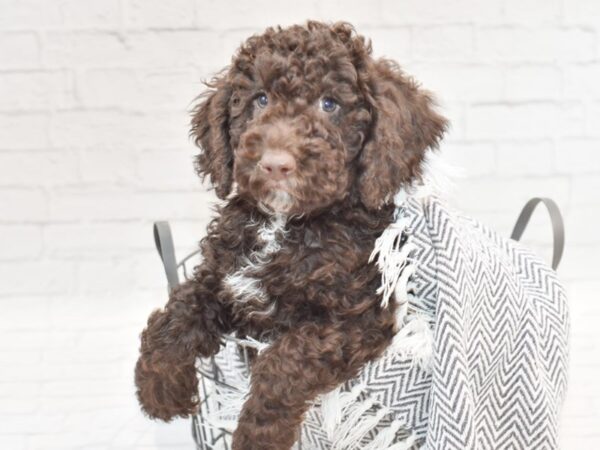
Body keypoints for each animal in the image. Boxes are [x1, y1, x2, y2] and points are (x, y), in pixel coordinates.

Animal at [135, 21, 446, 450]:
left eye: (329, 104)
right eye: (260, 99)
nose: (275, 164)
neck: (284, 224)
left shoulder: (360, 318)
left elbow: (286, 360)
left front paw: (258, 435)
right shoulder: (223, 279)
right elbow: (176, 311)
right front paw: (160, 390)